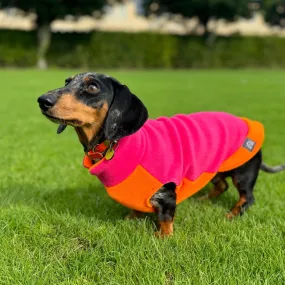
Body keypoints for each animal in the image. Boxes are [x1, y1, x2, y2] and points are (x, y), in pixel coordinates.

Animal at [37, 72, 284, 235]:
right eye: (67, 81)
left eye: (92, 88)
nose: (42, 100)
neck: (117, 144)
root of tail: (249, 123)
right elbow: (134, 209)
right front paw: (130, 219)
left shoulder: (166, 193)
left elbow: (165, 216)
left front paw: (163, 236)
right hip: (215, 169)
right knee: (221, 186)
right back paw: (203, 199)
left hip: (243, 172)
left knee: (247, 197)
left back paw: (232, 214)